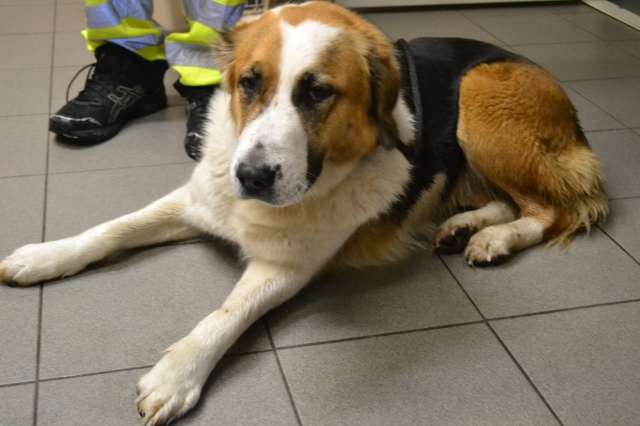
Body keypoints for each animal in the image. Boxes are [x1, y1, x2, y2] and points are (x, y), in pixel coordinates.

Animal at [0, 2, 607, 424]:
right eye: (249, 83)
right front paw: (42, 256)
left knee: (552, 209)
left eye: (318, 94)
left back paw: (496, 239)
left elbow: (223, 315)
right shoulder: (197, 203)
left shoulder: (288, 268)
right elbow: (112, 228)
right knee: (510, 198)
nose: (251, 178)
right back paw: (465, 227)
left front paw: (176, 375)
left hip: (481, 96)